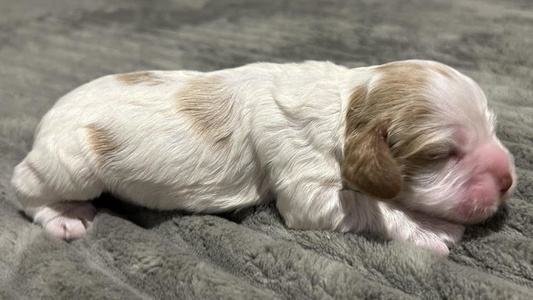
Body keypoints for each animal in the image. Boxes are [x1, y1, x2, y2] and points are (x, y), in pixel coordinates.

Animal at [9, 59, 516, 254]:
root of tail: (47, 118)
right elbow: (369, 204)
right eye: (442, 153)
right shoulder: (305, 177)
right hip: (72, 162)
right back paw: (64, 217)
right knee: (23, 187)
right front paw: (430, 228)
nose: (509, 180)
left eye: (492, 126)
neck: (347, 106)